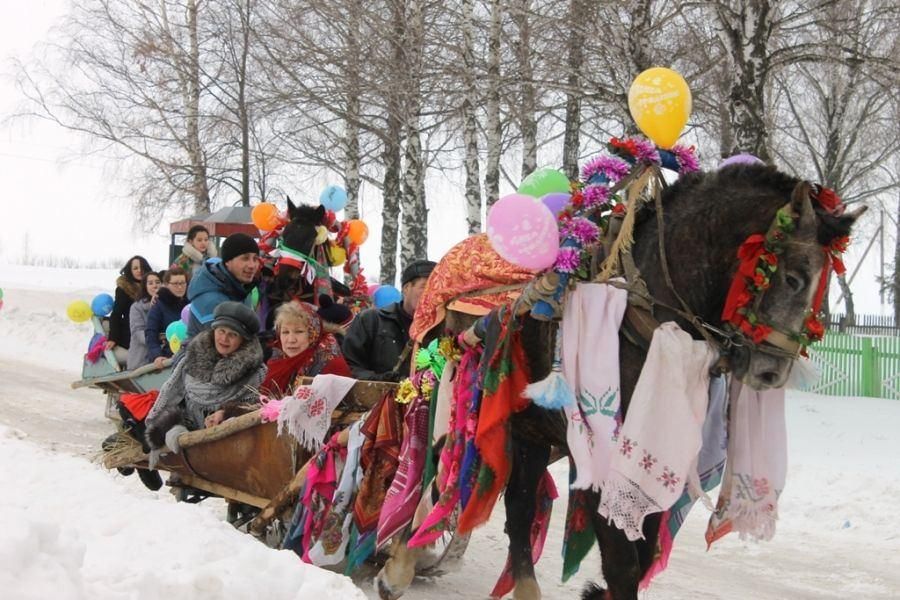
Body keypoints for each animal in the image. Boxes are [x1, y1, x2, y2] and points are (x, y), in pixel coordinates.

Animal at [372, 163, 864, 600]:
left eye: (823, 287)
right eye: (794, 276)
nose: (771, 371)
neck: (645, 313)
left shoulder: (653, 454)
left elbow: (639, 556)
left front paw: (596, 591)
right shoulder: (602, 451)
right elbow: (622, 562)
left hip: (528, 430)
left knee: (518, 510)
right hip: (450, 401)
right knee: (432, 476)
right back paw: (397, 565)